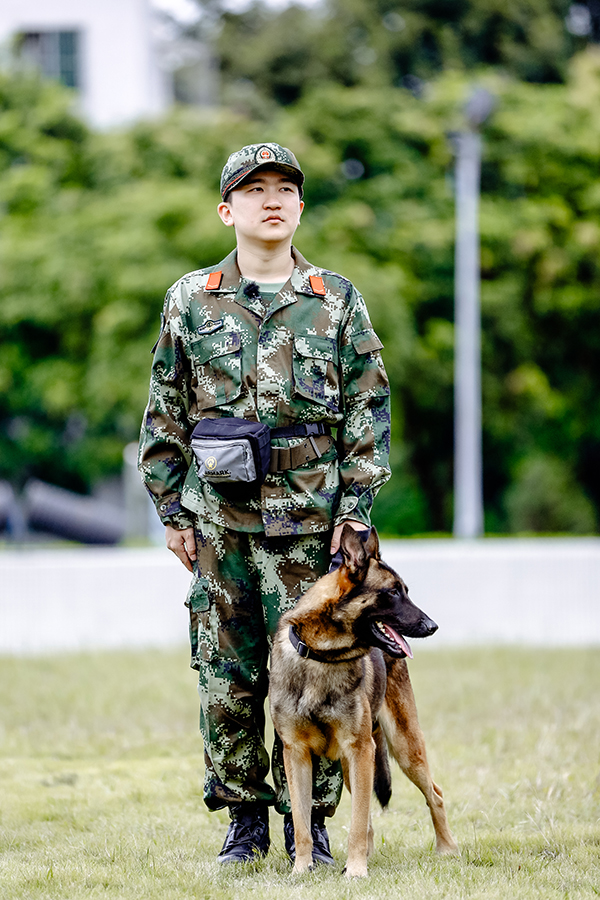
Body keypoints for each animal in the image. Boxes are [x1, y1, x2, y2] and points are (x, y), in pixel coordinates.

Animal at [270, 524, 458, 876]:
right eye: (393, 592)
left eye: (405, 591)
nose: (433, 626)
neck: (322, 655)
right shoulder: (297, 755)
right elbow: (302, 822)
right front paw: (301, 869)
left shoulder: (360, 749)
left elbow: (356, 821)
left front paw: (356, 872)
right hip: (353, 762)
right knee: (367, 811)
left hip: (402, 748)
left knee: (434, 795)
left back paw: (447, 848)